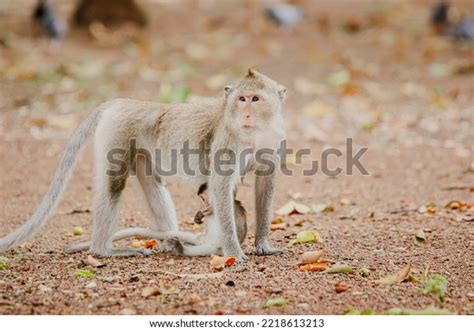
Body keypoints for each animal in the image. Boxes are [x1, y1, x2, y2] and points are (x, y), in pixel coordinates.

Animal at [0, 70, 286, 262]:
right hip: (116, 131)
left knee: (151, 183)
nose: (246, 114)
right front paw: (233, 251)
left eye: (255, 99)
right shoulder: (227, 141)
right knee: (114, 183)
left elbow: (265, 182)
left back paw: (168, 241)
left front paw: (263, 244)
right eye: (242, 99)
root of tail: (124, 102)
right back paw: (104, 250)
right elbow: (221, 183)